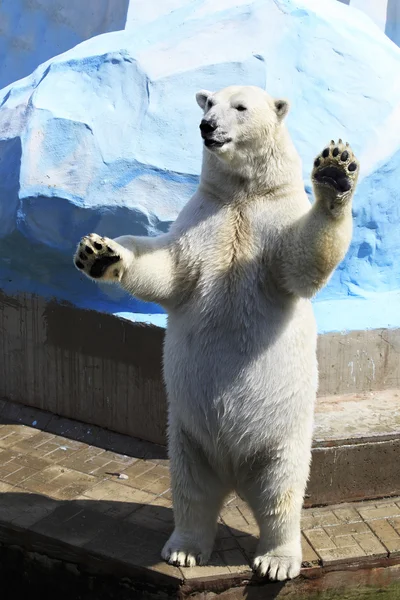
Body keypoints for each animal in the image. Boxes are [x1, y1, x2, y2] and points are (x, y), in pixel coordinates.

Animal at [73, 85, 358, 580]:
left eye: (240, 107)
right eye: (209, 104)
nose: (208, 127)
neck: (243, 193)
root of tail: (235, 474)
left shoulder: (272, 219)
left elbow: (300, 262)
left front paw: (336, 170)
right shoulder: (204, 217)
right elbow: (168, 269)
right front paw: (100, 253)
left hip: (282, 437)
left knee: (282, 492)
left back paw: (277, 560)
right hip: (186, 434)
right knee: (192, 491)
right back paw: (185, 548)